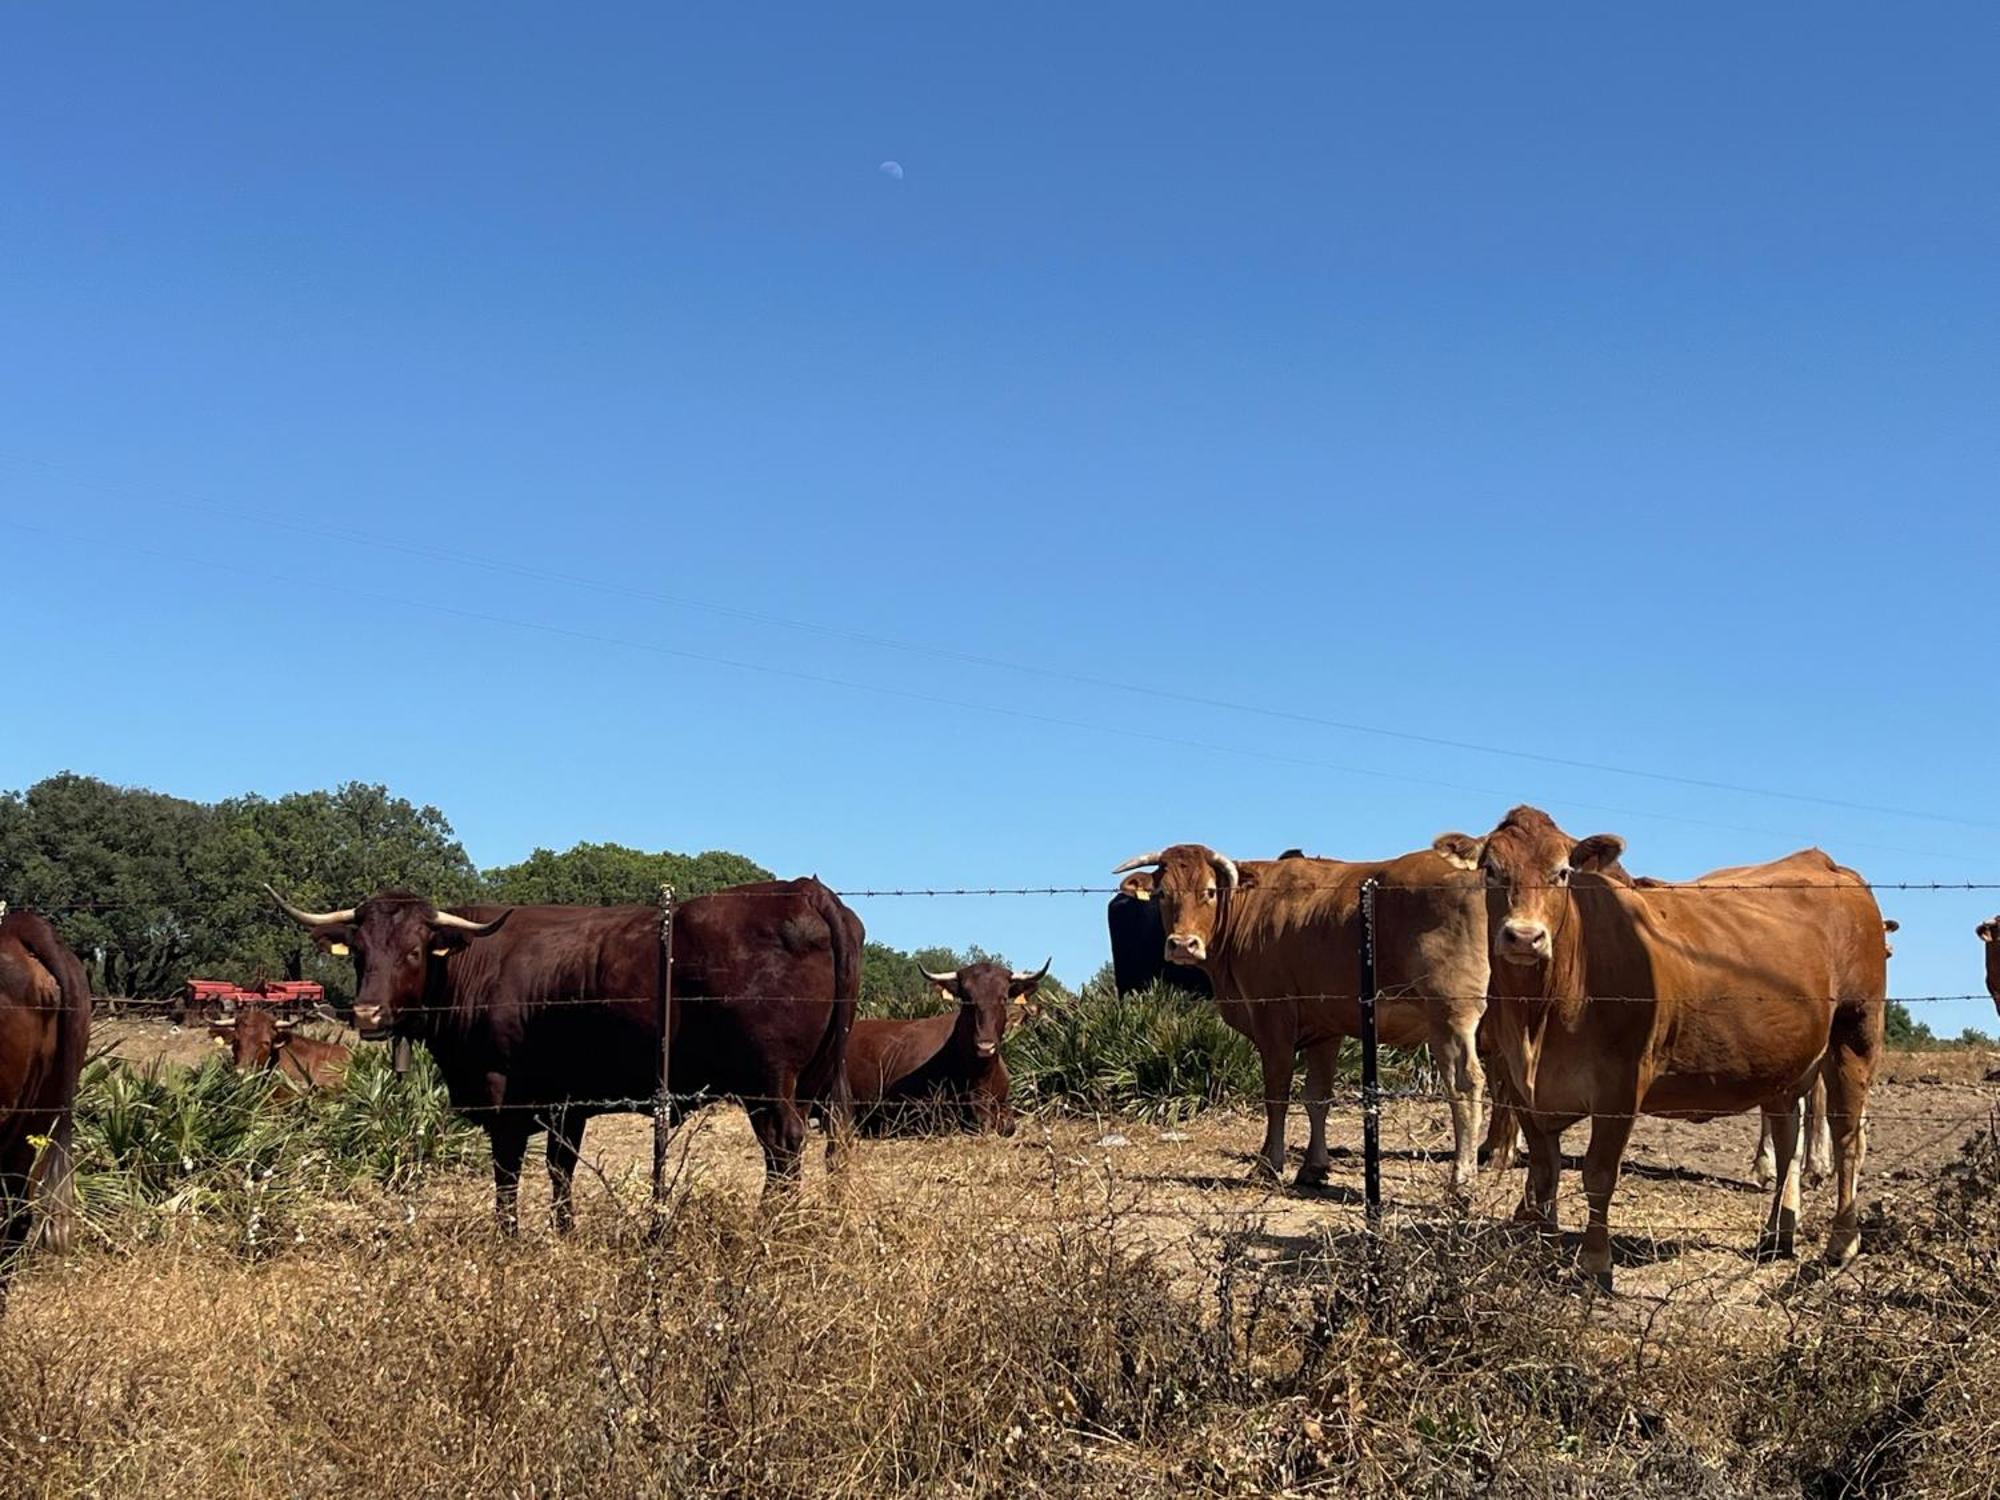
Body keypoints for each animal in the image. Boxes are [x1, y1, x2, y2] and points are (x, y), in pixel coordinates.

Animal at [268, 880, 860, 1232]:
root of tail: (803, 891)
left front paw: (508, 1236)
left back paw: (771, 1227)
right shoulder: (567, 1104)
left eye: (414, 951)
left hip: (768, 1082)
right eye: (360, 952)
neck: (474, 967)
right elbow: (560, 1169)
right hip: (820, 1079)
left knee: (782, 1147)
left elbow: (508, 1173)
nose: (368, 1014)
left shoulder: (504, 1099)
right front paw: (563, 1230)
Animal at [1120, 852, 1496, 1192]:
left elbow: (1277, 1095)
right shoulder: (1324, 1031)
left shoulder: (1273, 1021)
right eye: (1162, 894)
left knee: (1465, 1084)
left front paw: (1268, 1165)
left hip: (1451, 1015)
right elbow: (1318, 1098)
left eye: (1210, 891)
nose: (1183, 944)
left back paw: (1462, 1181)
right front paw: (1314, 1167)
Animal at [1440, 812, 1888, 1296]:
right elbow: (1544, 1171)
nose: (1524, 937)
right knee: (1789, 1138)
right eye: (1491, 870)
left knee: (1848, 1139)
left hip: (1855, 1034)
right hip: (1782, 1065)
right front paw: (1541, 1250)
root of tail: (1828, 866)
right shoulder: (1522, 1088)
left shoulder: (1620, 1085)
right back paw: (1777, 1234)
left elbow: (1598, 1174)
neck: (1537, 1016)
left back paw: (1841, 1243)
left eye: (1562, 873)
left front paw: (1596, 1264)